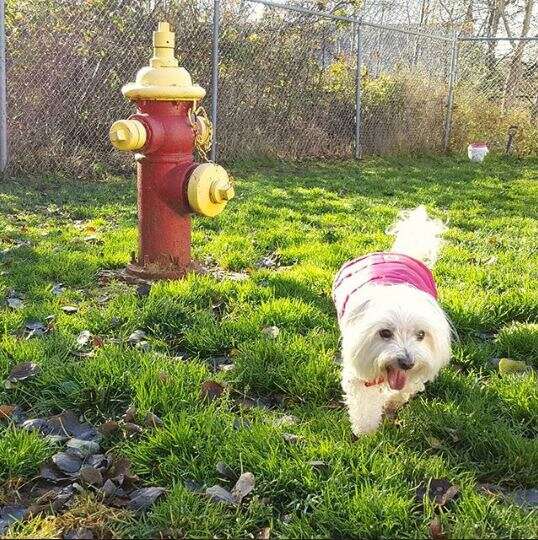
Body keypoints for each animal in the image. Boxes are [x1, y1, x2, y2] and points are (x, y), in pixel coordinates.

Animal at [332, 207, 450, 434]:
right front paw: (366, 432)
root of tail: (399, 254)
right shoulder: (360, 369)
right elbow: (364, 404)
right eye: (385, 333)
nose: (407, 362)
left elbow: (405, 388)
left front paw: (391, 402)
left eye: (421, 335)